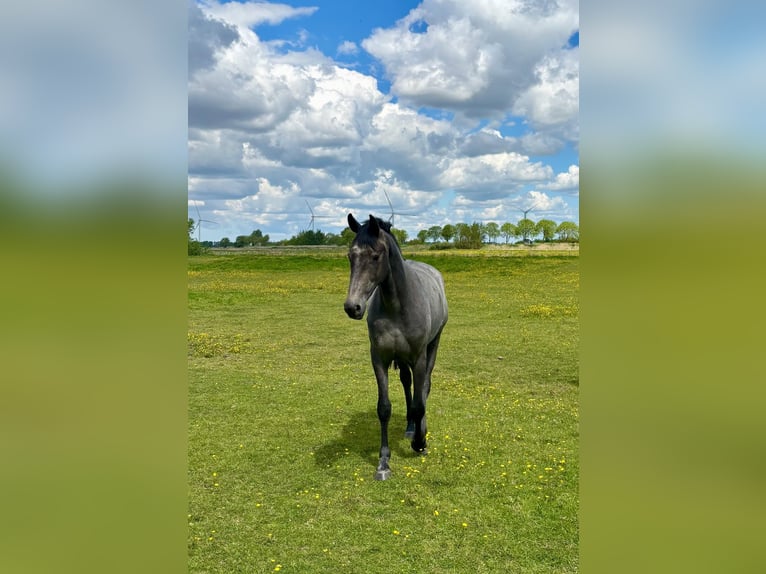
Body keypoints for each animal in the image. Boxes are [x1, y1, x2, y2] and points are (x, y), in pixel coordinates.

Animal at [344, 214, 448, 480]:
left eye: (375, 256)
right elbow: (384, 408)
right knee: (406, 383)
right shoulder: (379, 358)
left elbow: (420, 403)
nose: (353, 307)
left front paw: (420, 443)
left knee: (424, 387)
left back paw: (419, 430)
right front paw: (383, 462)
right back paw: (410, 427)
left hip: (433, 345)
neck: (398, 305)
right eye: (350, 256)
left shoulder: (419, 358)